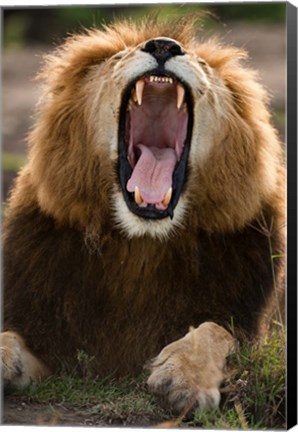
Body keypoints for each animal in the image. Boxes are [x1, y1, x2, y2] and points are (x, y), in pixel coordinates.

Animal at [2, 17, 286, 416]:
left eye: (202, 63)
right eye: (118, 57)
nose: (164, 46)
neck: (141, 244)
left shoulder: (246, 323)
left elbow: (216, 330)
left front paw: (182, 377)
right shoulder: (46, 335)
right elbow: (9, 335)